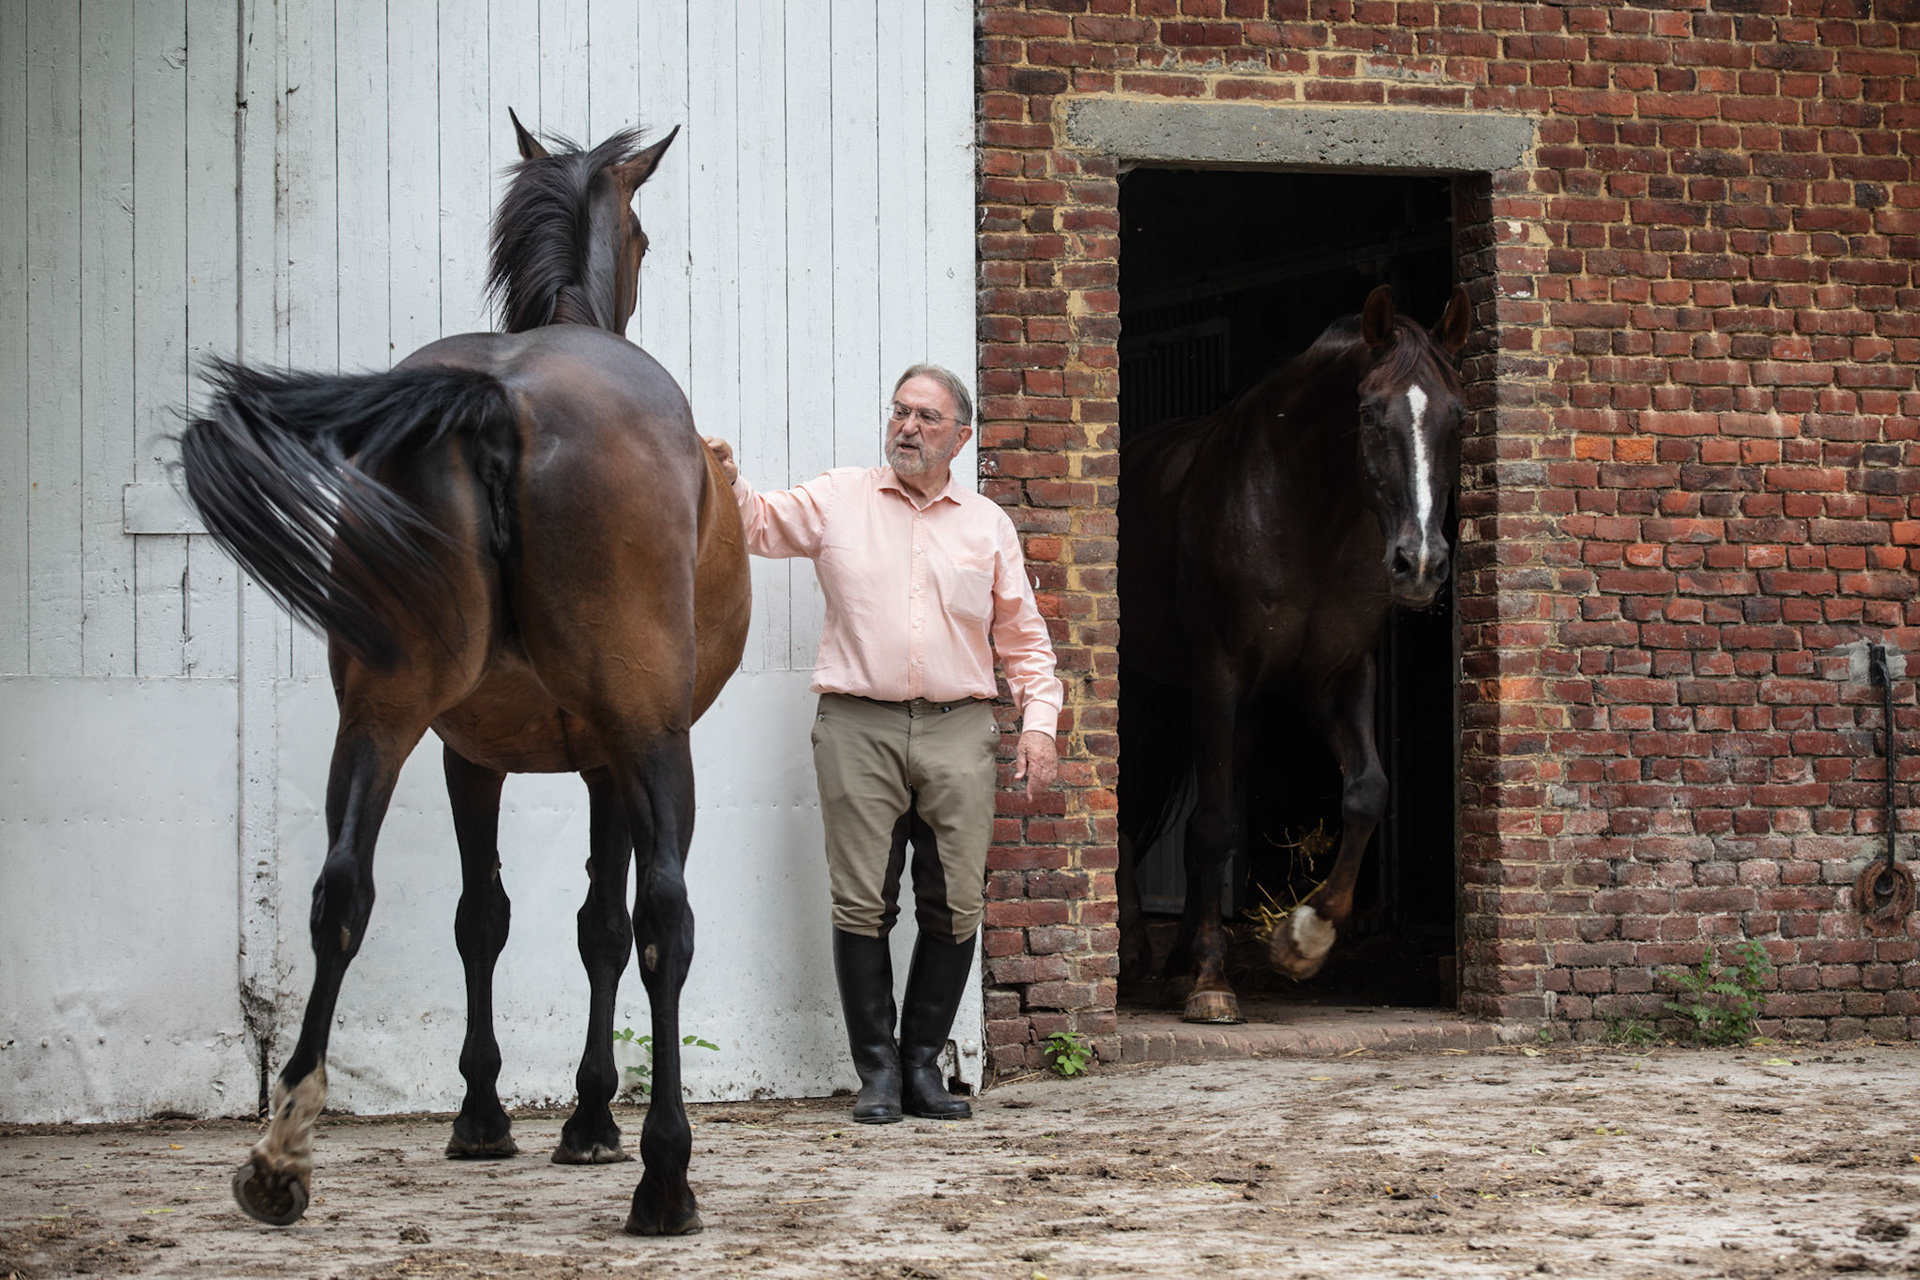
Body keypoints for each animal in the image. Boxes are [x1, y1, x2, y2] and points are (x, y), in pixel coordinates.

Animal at [180, 113, 750, 1236]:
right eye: (647, 237)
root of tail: (500, 395)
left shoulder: (467, 755)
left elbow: (483, 916)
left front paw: (484, 1114)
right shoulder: (609, 757)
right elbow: (602, 926)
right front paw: (590, 1120)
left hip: (382, 711)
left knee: (339, 889)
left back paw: (280, 1152)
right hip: (650, 735)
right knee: (664, 918)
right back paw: (666, 1177)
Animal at [1116, 284, 1471, 1024]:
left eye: (1457, 416)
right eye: (1369, 415)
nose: (1421, 564)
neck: (1307, 515)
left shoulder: (1339, 678)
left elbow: (1367, 791)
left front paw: (1303, 939)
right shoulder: (1218, 678)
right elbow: (1216, 826)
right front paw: (1213, 981)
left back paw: (1174, 962)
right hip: (1147, 686)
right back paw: (1138, 948)